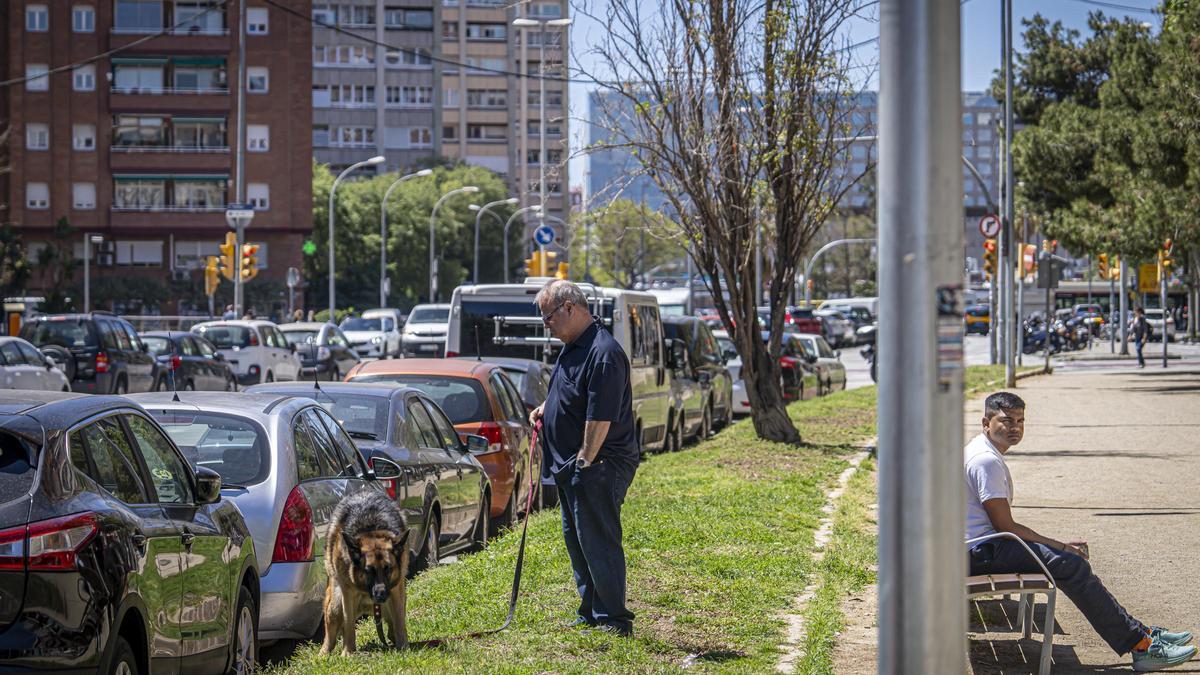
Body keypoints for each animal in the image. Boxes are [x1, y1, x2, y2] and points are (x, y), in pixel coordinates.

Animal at [319, 485, 412, 653]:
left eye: (388, 569)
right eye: (368, 570)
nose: (381, 595)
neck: (371, 529)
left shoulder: (396, 590)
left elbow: (400, 621)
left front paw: (403, 646)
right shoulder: (348, 594)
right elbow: (349, 626)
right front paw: (348, 652)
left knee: (392, 625)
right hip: (335, 604)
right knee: (330, 635)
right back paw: (324, 653)